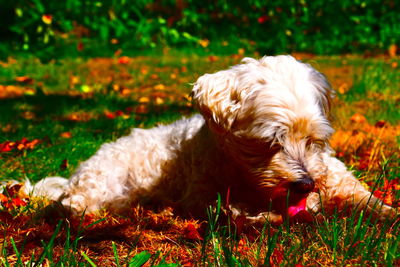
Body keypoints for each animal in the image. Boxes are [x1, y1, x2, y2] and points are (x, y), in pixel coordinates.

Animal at [26, 56, 396, 224]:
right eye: (270, 142)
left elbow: (363, 196)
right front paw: (260, 215)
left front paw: (385, 212)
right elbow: (235, 209)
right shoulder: (201, 194)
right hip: (104, 184)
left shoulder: (333, 175)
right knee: (76, 204)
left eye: (314, 140)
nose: (306, 184)